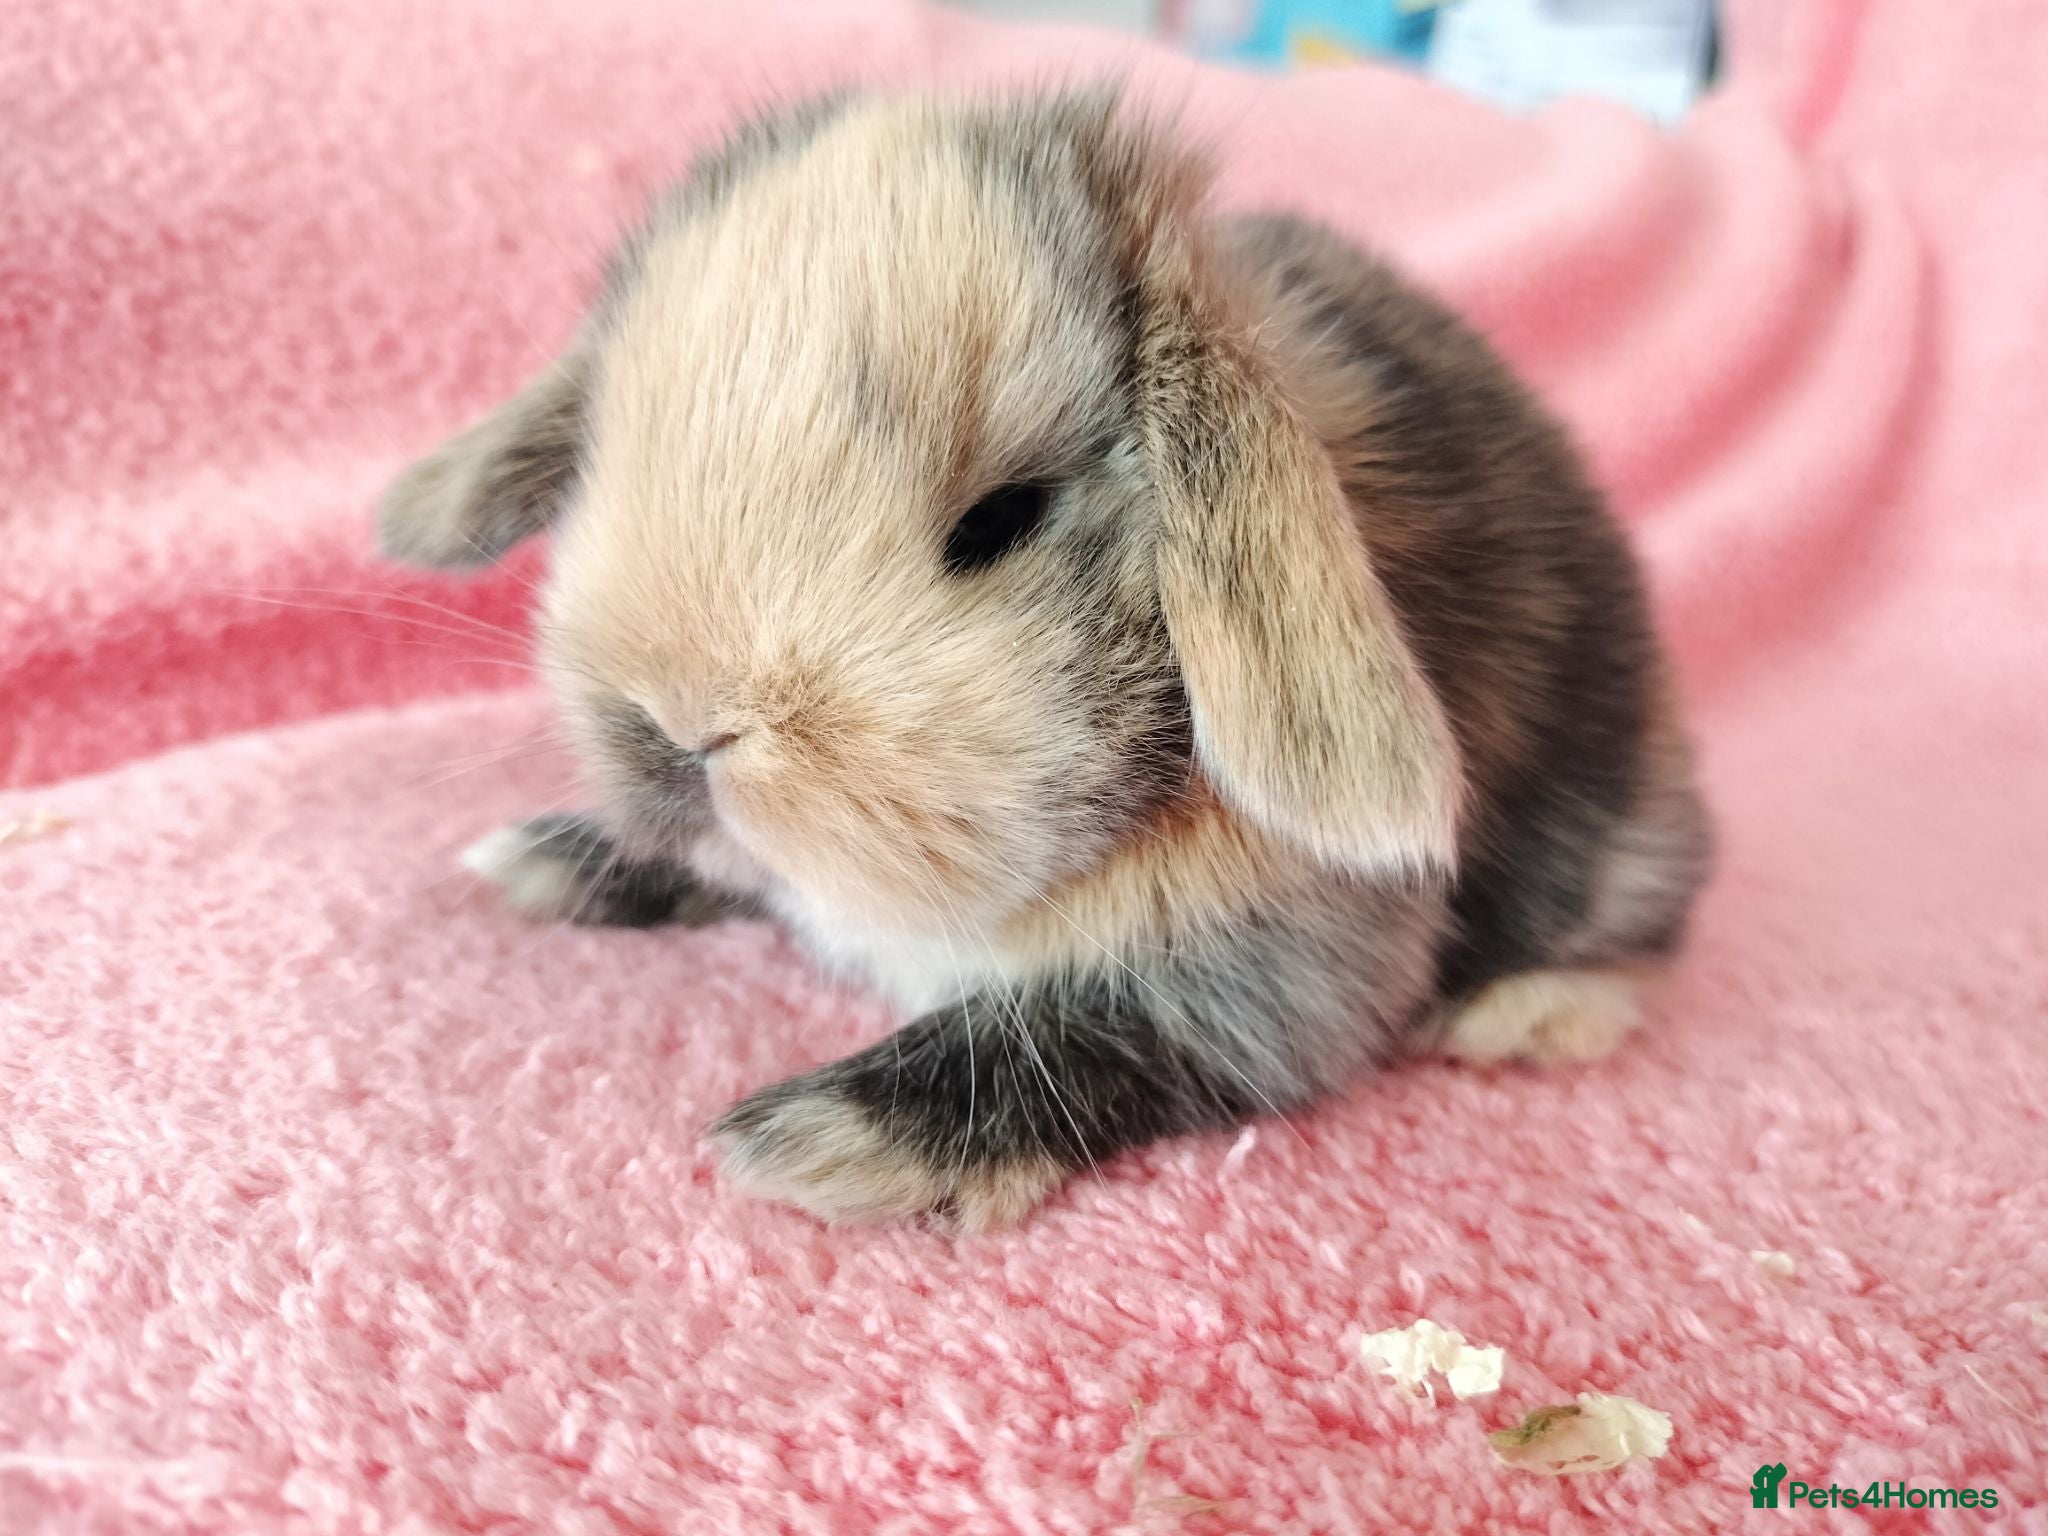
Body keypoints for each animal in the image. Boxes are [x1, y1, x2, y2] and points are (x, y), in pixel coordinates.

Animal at [379, 89, 1710, 1231]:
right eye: (610, 445)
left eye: (1001, 518)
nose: (678, 723)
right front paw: (543, 861)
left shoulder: (1280, 970)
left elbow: (1078, 1039)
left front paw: (818, 1140)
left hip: (1622, 832)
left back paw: (1518, 1015)